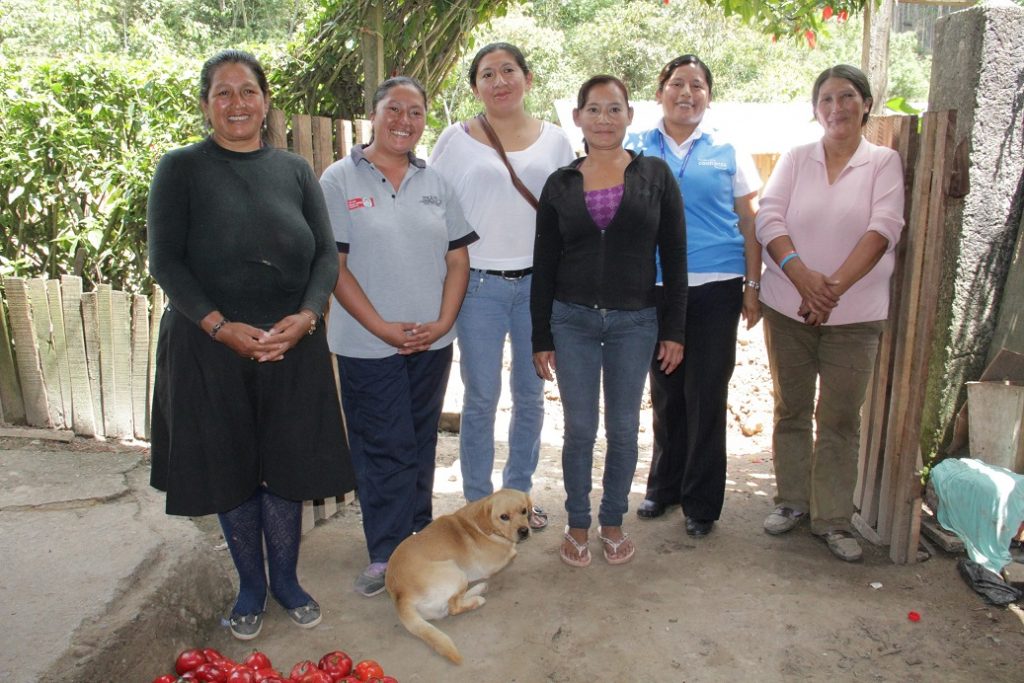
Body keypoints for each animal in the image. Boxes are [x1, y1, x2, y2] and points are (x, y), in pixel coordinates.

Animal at [382, 489, 528, 663]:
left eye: (524, 511)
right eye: (504, 517)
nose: (525, 531)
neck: (481, 526)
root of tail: (401, 595)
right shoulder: (491, 565)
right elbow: (514, 552)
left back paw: (479, 589)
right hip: (457, 572)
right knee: (453, 607)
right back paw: (478, 599)